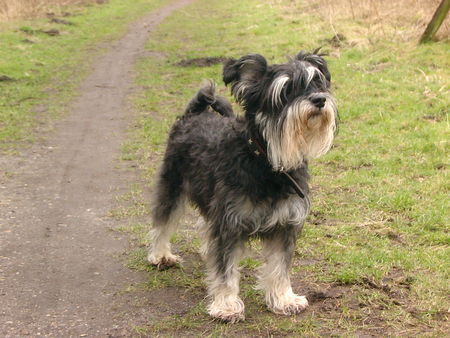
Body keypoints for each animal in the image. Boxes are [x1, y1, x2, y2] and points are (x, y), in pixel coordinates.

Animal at [148, 49, 338, 322]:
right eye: (286, 89)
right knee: (163, 220)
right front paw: (226, 305)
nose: (320, 99)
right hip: (172, 185)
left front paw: (284, 299)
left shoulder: (285, 225)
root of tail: (195, 113)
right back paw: (160, 255)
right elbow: (225, 270)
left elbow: (279, 267)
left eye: (318, 82)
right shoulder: (229, 223)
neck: (266, 162)